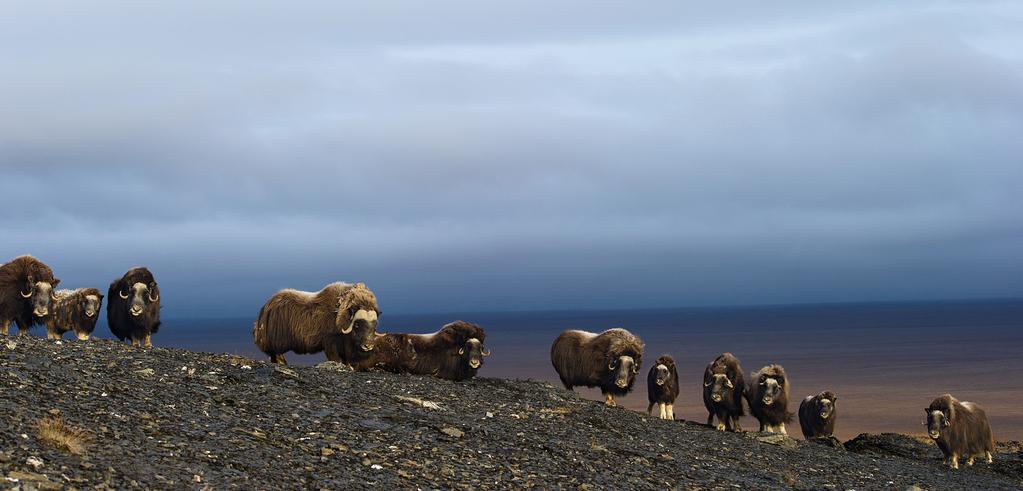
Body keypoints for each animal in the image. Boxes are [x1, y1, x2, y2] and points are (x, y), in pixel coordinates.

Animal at [253, 282, 382, 366]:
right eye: (357, 325)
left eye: (374, 325)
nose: (368, 346)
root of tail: (265, 307)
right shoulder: (330, 341)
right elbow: (335, 358)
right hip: (276, 340)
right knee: (276, 353)